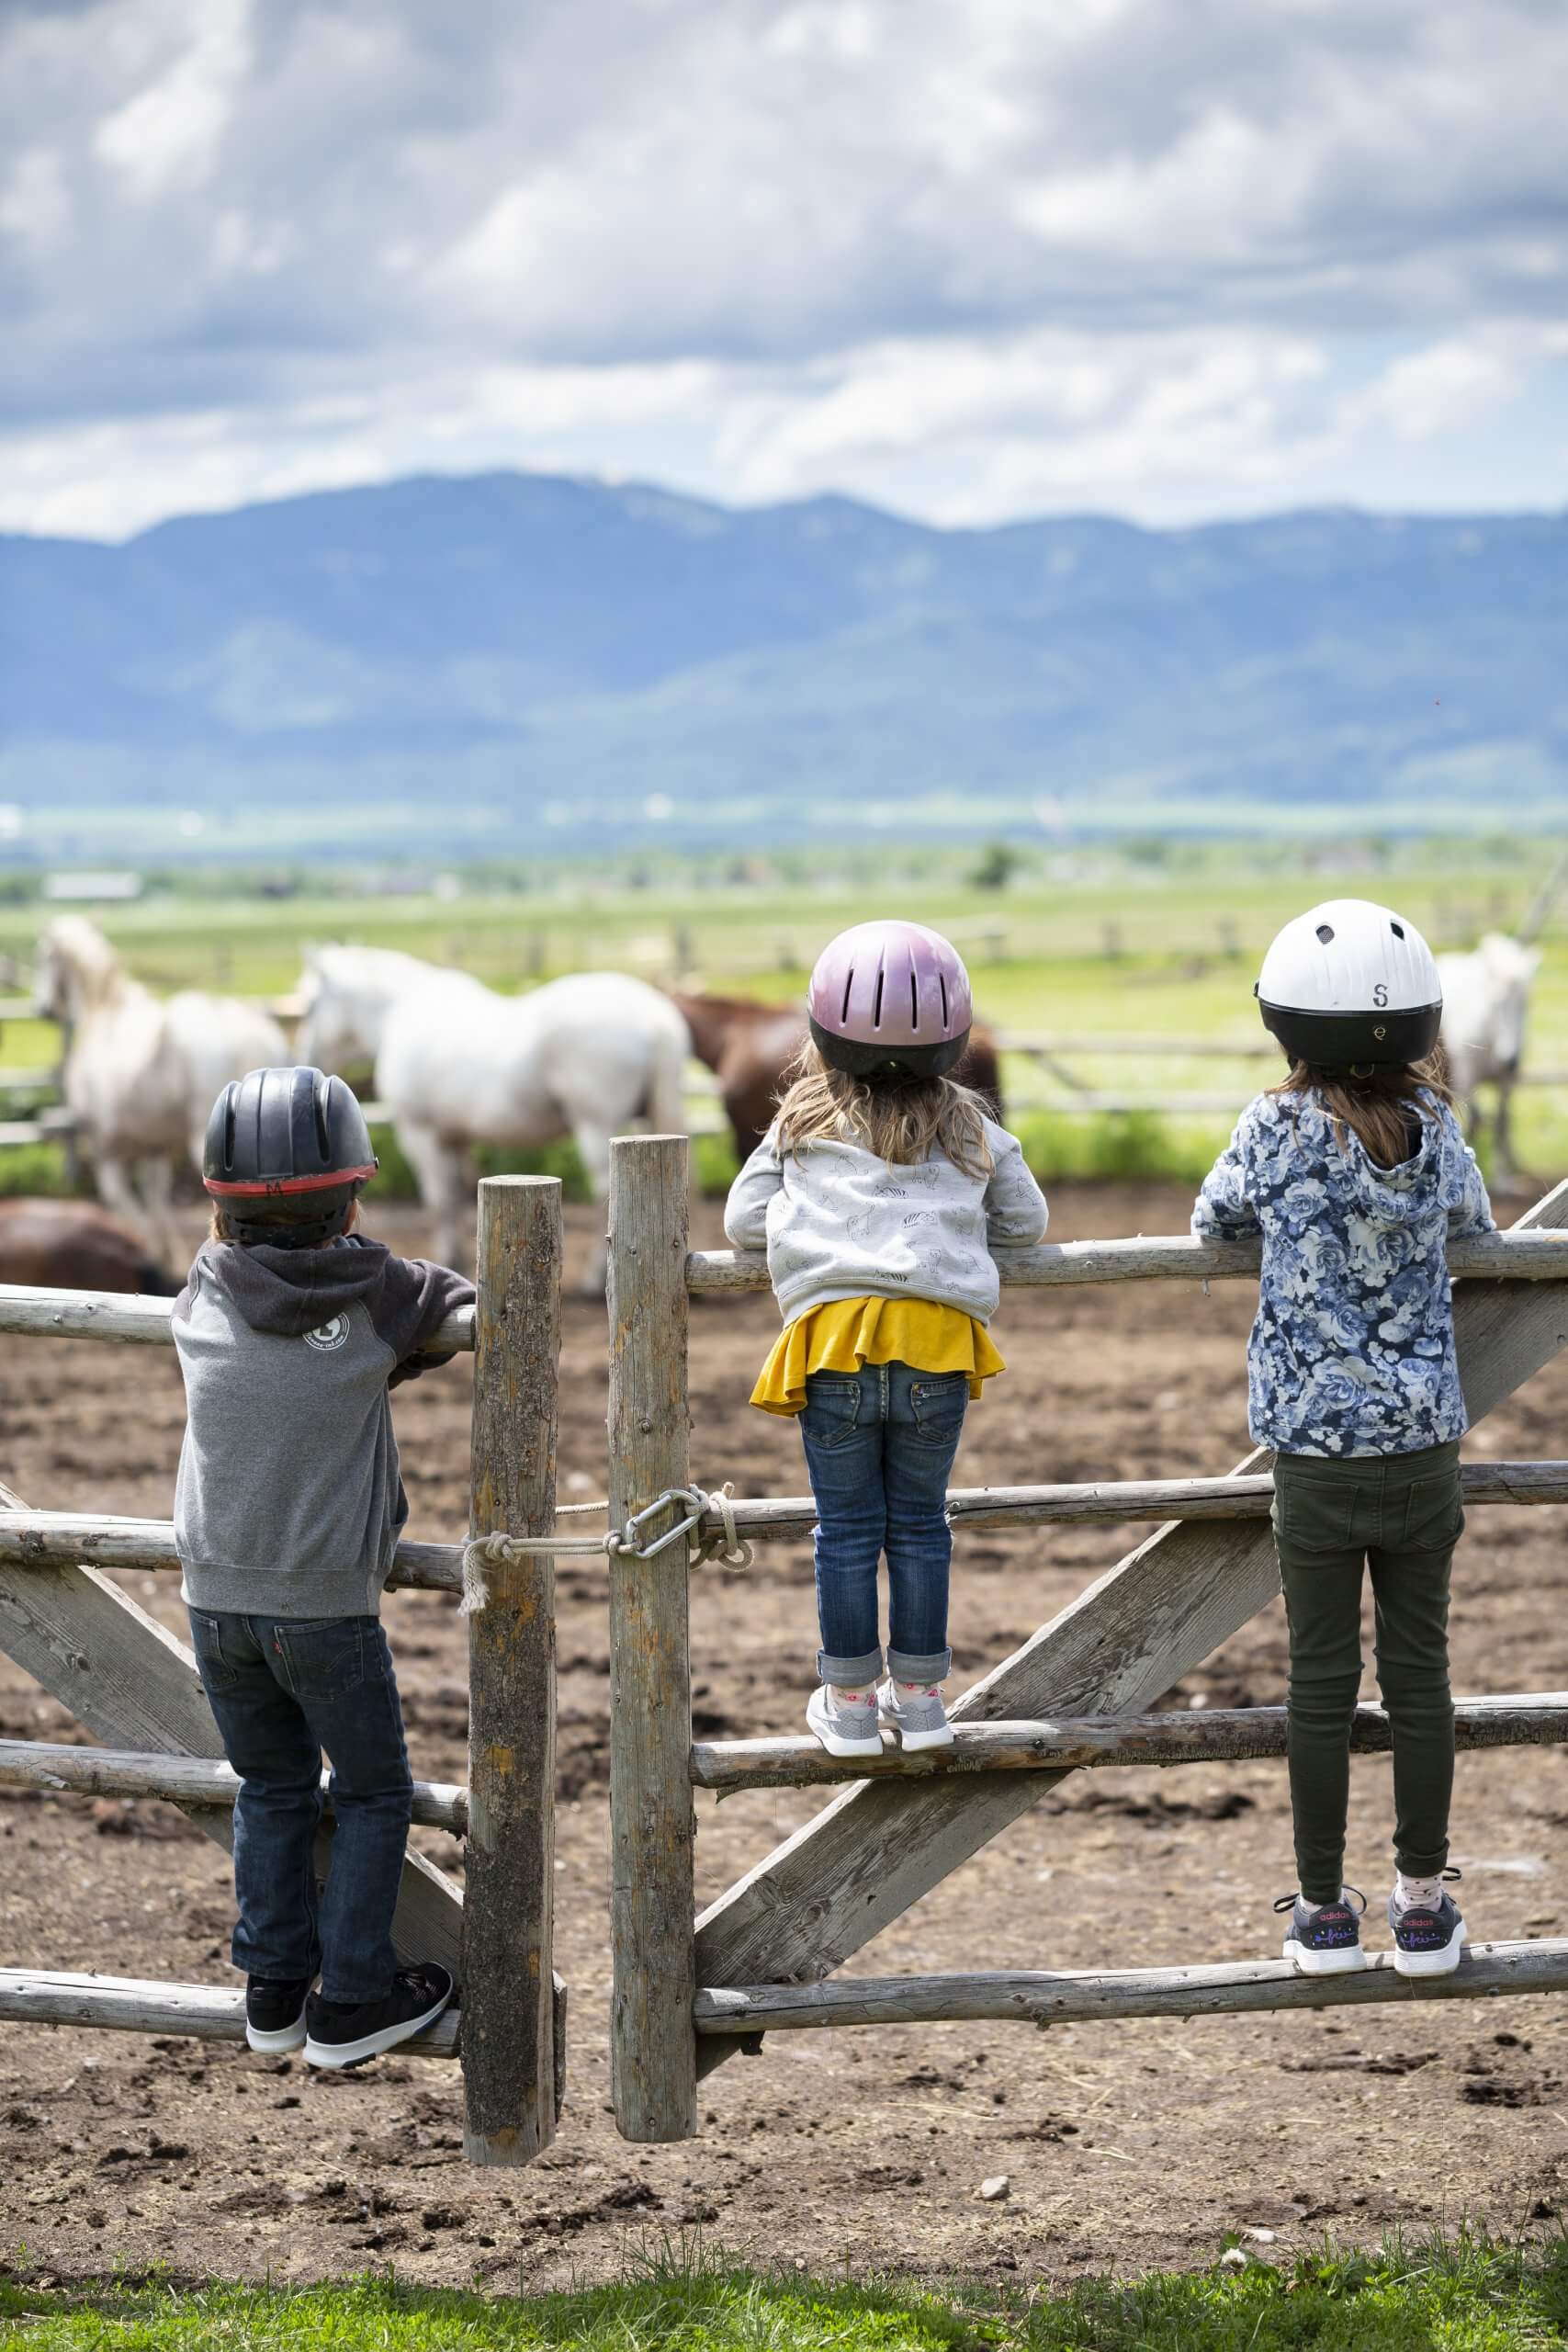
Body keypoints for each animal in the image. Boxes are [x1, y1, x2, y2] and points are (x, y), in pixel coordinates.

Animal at [33, 912, 288, 1270]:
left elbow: (122, 1200)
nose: (42, 1008)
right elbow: (157, 1197)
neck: (105, 1015)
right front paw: (172, 1255)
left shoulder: (106, 1148)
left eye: (43, 956)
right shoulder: (153, 1146)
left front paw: (150, 1251)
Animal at [293, 941, 686, 1279]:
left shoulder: (420, 1133)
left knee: (603, 1192)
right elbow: (459, 1194)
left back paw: (592, 1278)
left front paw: (449, 1256)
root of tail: (655, 1019)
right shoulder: (455, 1137)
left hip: (596, 1125)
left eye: (310, 1005)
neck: (399, 1013)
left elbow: (440, 1200)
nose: (307, 1058)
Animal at [1438, 931, 1541, 1185]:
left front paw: (1503, 1175)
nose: (1511, 1059)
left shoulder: (1506, 1082)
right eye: (1497, 1004)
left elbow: (1502, 1123)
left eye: (1526, 1003)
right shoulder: (1465, 1079)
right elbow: (1475, 1120)